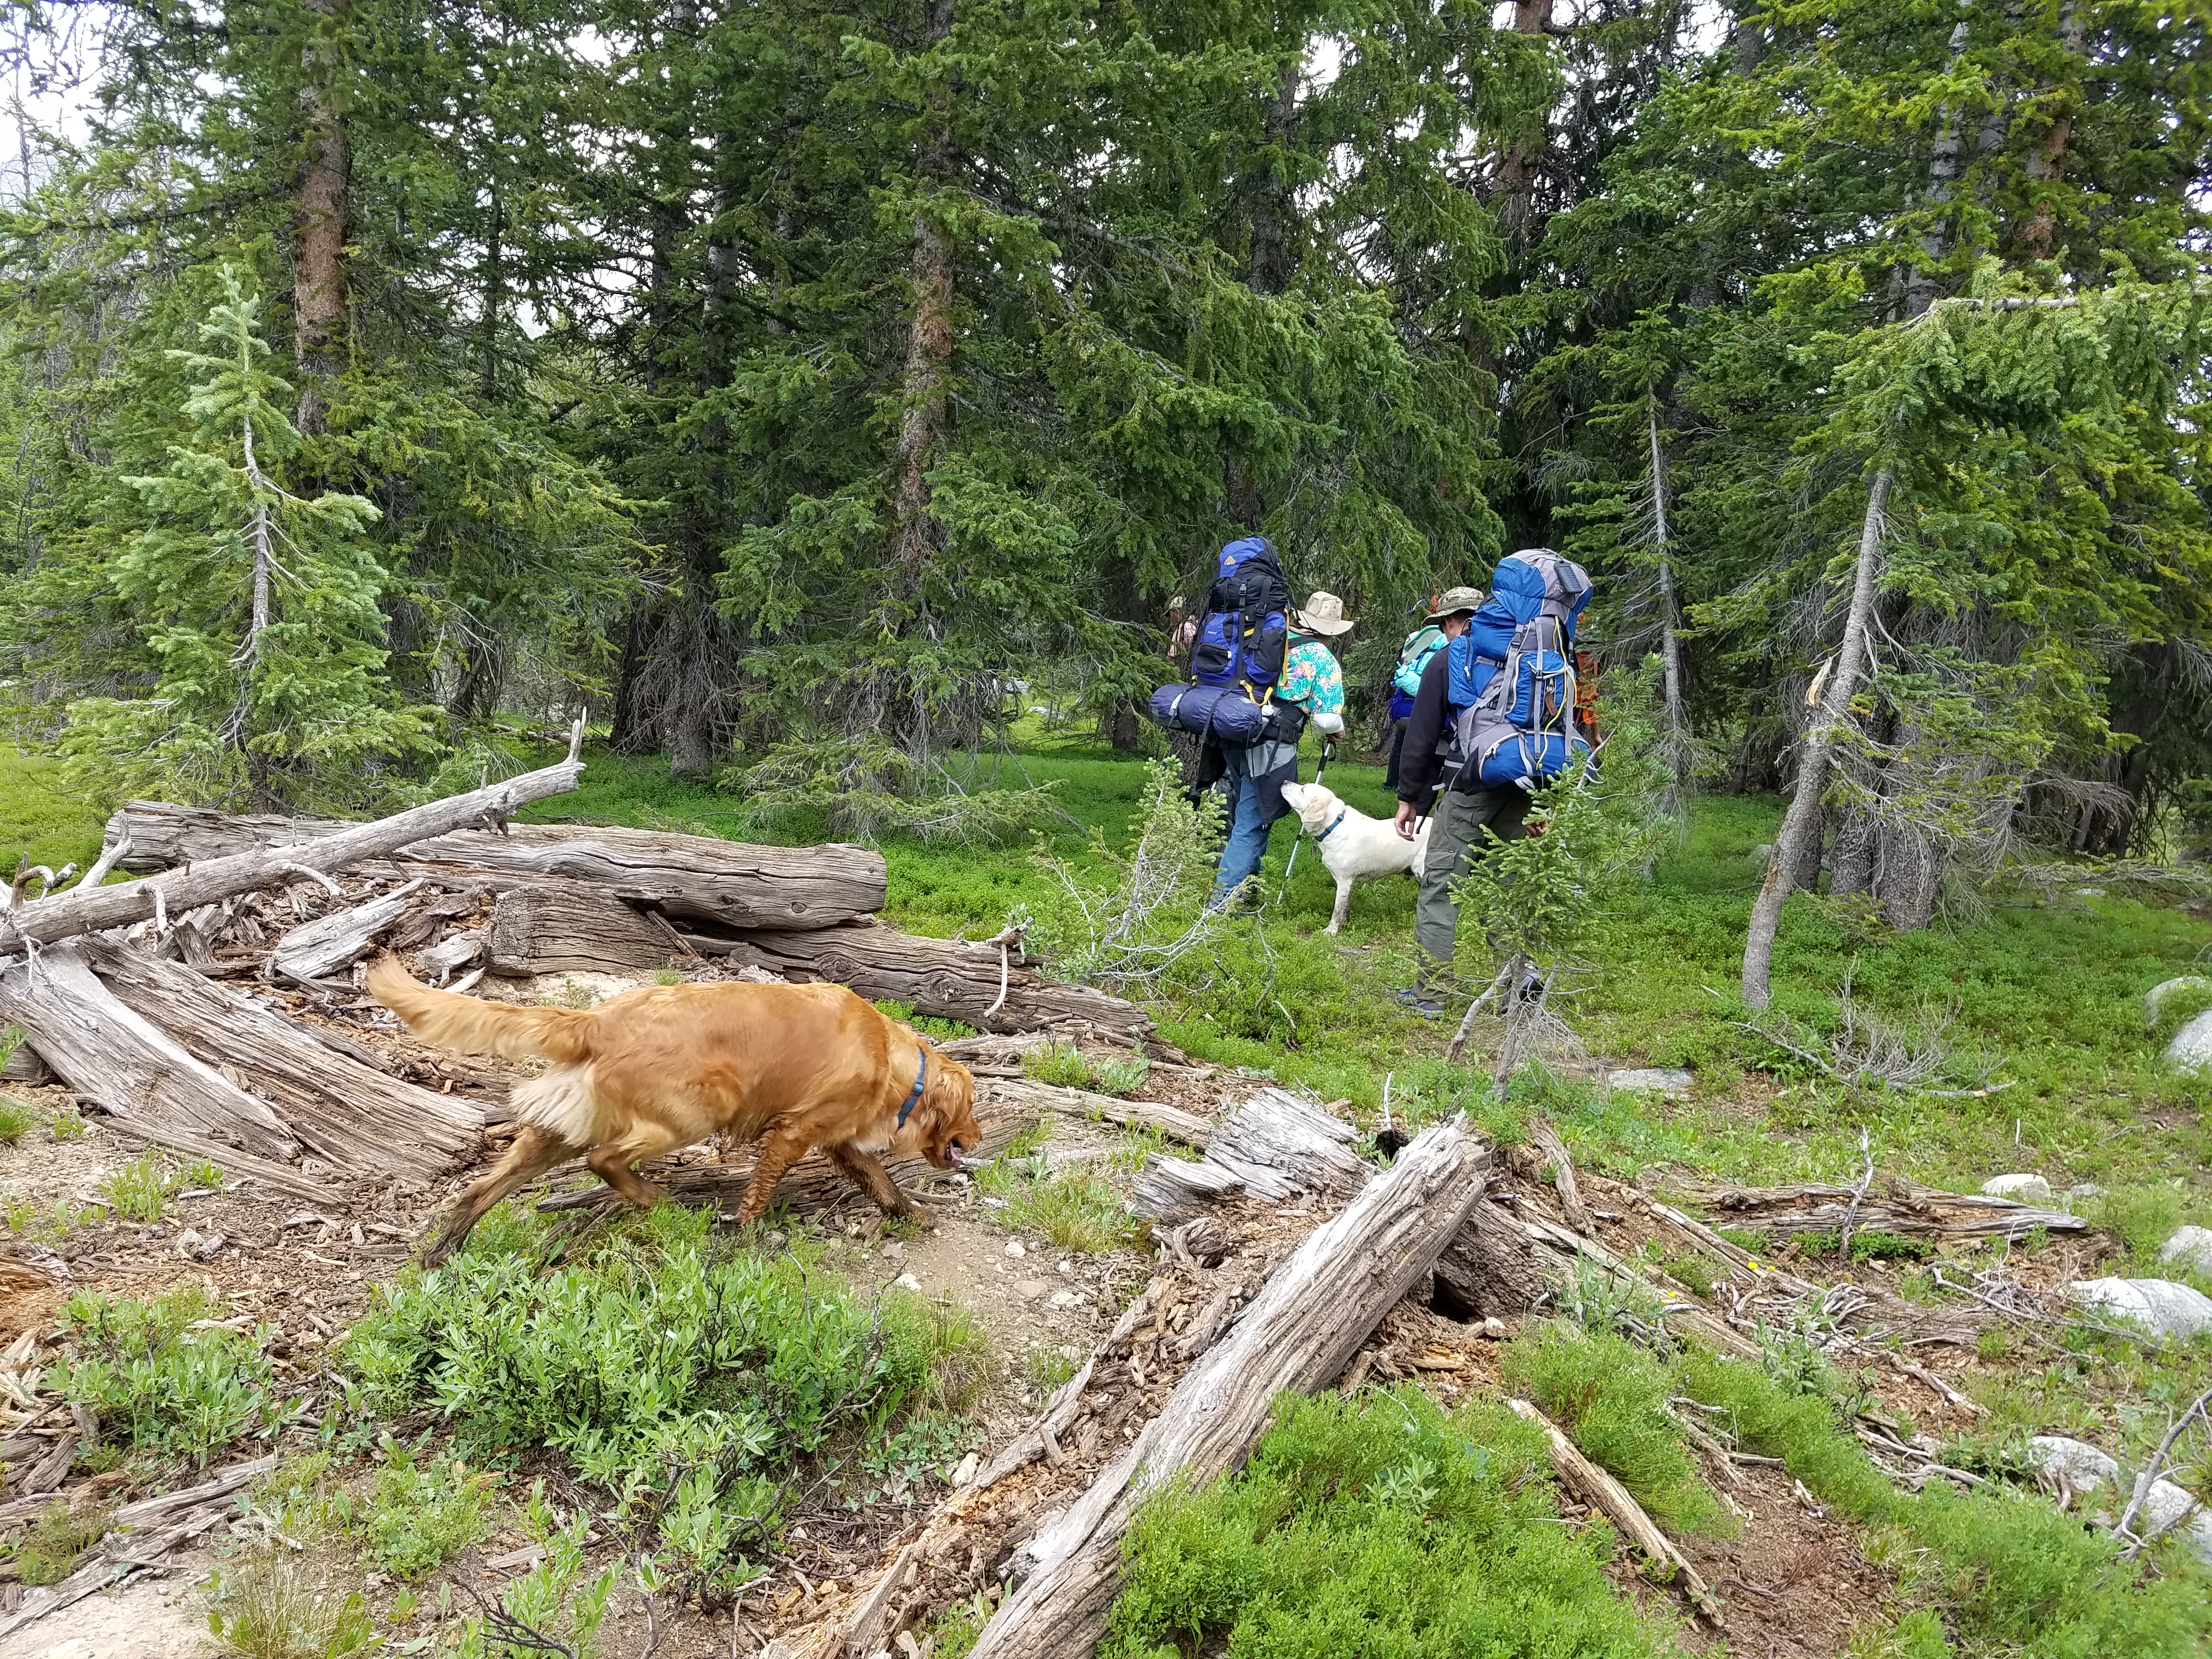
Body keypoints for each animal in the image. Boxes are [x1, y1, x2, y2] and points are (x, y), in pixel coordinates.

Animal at [367, 960, 982, 1256]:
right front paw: (747, 1234)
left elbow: (884, 1184)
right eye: (973, 1109)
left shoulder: (842, 1143)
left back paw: (445, 1249)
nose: (977, 1139)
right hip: (694, 1112)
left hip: (558, 1131)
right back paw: (654, 1199)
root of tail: (597, 1019)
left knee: (481, 1187)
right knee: (606, 1161)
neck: (895, 1063)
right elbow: (761, 1191)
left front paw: (914, 1213)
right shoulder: (793, 1131)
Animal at [1283, 783, 1433, 938]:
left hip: (1421, 868)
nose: (1285, 782)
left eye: (1303, 790)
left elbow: (1337, 909)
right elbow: (1344, 906)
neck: (1334, 826)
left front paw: (1331, 930)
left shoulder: (1344, 880)